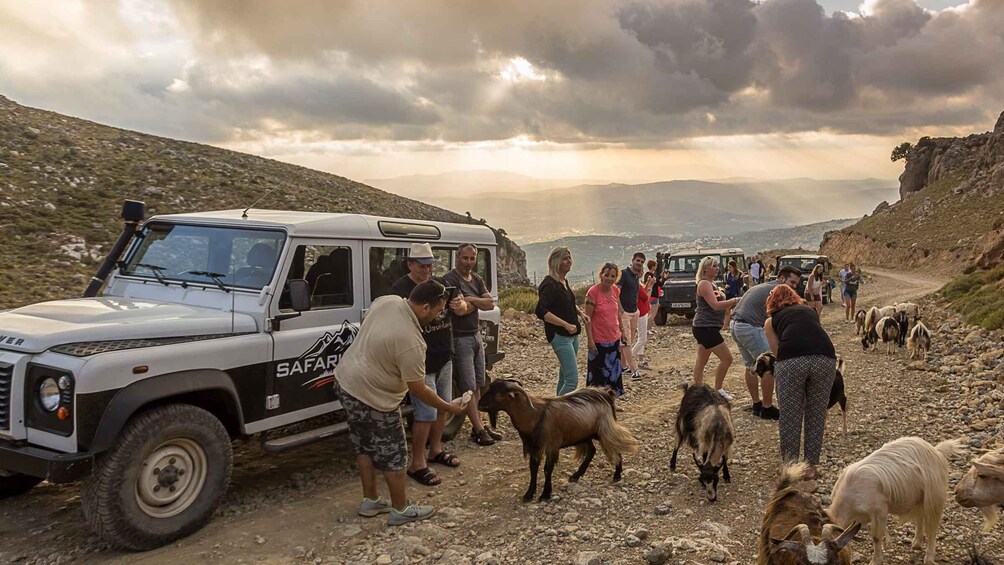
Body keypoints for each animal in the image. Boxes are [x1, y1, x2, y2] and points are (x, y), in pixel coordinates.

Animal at [475, 379, 634, 503]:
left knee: (615, 448)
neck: (533, 415)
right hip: (583, 434)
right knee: (591, 451)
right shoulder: (534, 447)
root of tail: (606, 394)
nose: (479, 404)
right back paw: (576, 476)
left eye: (497, 392)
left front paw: (545, 494)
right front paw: (529, 494)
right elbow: (533, 468)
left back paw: (617, 475)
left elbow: (547, 469)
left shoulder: (551, 445)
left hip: (603, 431)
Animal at [823, 437, 963, 565]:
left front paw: (875, 561)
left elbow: (876, 537)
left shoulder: (879, 510)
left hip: (933, 497)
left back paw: (928, 558)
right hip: (919, 498)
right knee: (920, 517)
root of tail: (936, 451)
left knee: (932, 529)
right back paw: (917, 543)